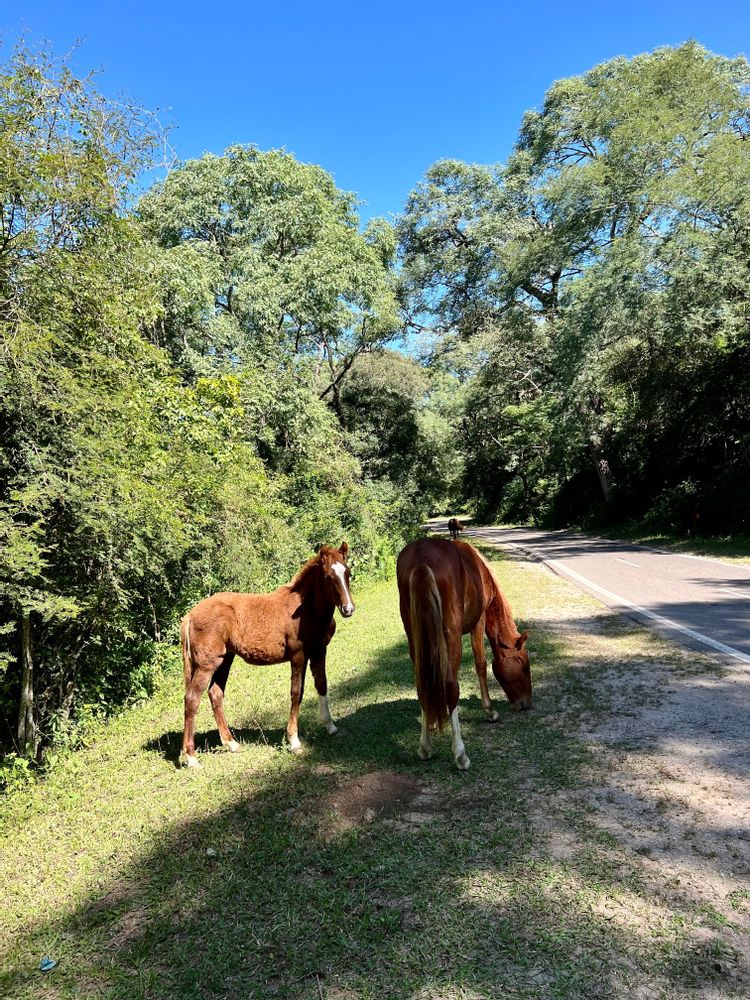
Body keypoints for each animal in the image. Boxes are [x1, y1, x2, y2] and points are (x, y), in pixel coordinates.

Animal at [179, 542, 355, 768]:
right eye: (327, 576)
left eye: (347, 572)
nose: (348, 609)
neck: (306, 610)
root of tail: (190, 616)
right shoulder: (298, 656)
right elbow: (296, 693)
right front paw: (294, 742)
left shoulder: (319, 651)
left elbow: (322, 685)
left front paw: (331, 727)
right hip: (206, 665)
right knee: (192, 699)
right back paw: (192, 758)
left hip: (225, 660)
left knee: (215, 694)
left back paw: (231, 744)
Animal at [397, 537, 531, 770]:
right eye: (524, 665)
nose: (527, 704)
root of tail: (421, 558)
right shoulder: (478, 623)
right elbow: (481, 664)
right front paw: (489, 711)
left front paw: (432, 722)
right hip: (452, 634)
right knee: (451, 685)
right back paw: (460, 754)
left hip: (413, 633)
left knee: (422, 682)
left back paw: (425, 747)